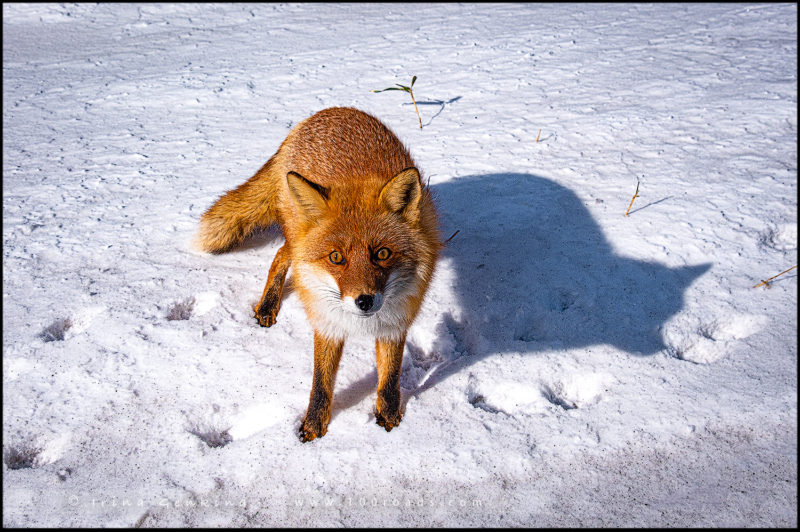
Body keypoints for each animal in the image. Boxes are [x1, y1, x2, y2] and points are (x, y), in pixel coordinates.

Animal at [196, 107, 440, 440]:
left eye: (382, 254)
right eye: (336, 257)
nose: (364, 301)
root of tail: (328, 111)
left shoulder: (396, 321)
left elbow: (390, 377)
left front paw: (389, 416)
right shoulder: (326, 320)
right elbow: (321, 382)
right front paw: (313, 425)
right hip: (296, 232)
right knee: (280, 256)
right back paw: (268, 304)